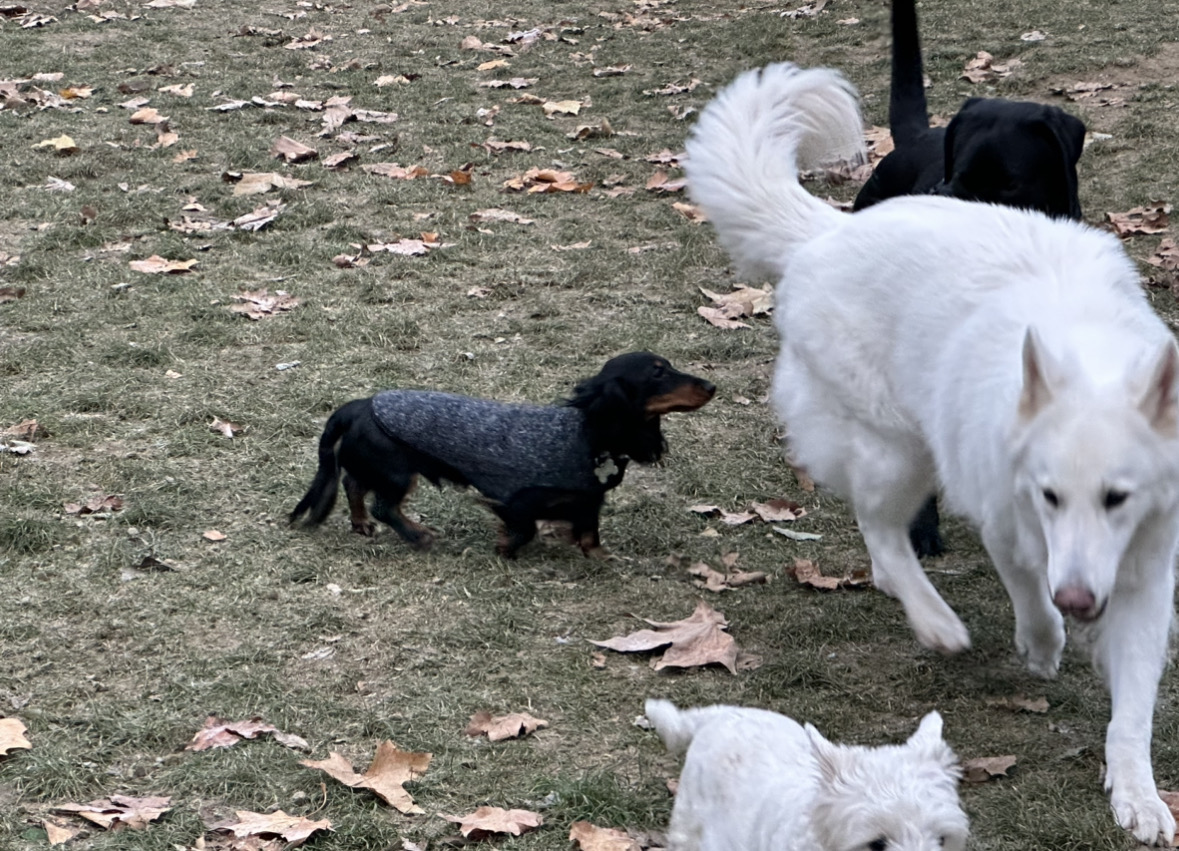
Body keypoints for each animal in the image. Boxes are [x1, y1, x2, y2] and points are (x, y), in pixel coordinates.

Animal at [290, 351, 712, 556]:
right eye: (657, 373)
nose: (712, 385)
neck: (587, 435)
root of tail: (359, 405)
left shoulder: (589, 502)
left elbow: (590, 537)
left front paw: (600, 559)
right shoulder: (517, 498)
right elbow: (524, 529)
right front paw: (505, 547)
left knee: (353, 483)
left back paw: (361, 523)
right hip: (397, 473)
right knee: (384, 505)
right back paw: (418, 536)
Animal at [683, 61, 1179, 843]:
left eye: (1117, 498)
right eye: (1049, 496)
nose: (1080, 599)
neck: (1087, 354)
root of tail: (832, 231)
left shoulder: (1144, 572)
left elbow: (1131, 709)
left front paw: (1137, 794)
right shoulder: (1007, 519)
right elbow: (1030, 597)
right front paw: (1043, 645)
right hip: (901, 449)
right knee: (882, 531)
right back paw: (935, 619)